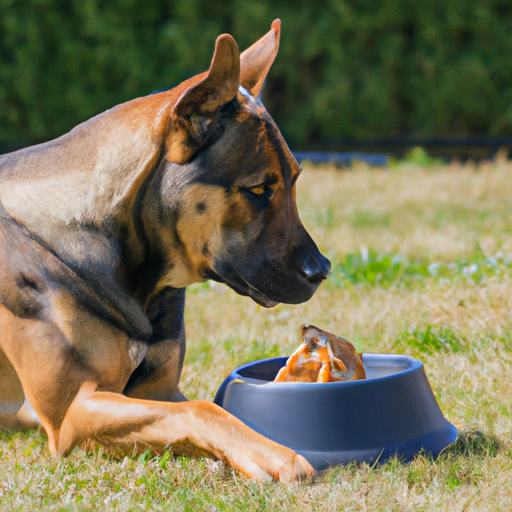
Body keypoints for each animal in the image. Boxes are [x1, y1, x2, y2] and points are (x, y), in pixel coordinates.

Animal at [0, 20, 330, 482]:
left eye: (296, 179)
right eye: (258, 189)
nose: (322, 269)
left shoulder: (159, 389)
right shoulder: (72, 412)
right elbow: (204, 410)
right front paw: (273, 454)